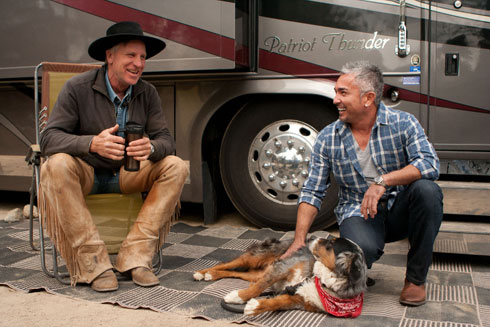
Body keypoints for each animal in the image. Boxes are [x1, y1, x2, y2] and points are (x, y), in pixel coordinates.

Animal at [193, 236, 366, 318]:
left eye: (330, 245)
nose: (310, 238)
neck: (324, 281)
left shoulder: (300, 299)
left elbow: (276, 302)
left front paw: (255, 306)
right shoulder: (282, 267)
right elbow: (259, 288)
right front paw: (238, 297)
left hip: (256, 273)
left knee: (237, 273)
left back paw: (212, 274)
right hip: (257, 257)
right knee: (226, 263)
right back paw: (202, 272)